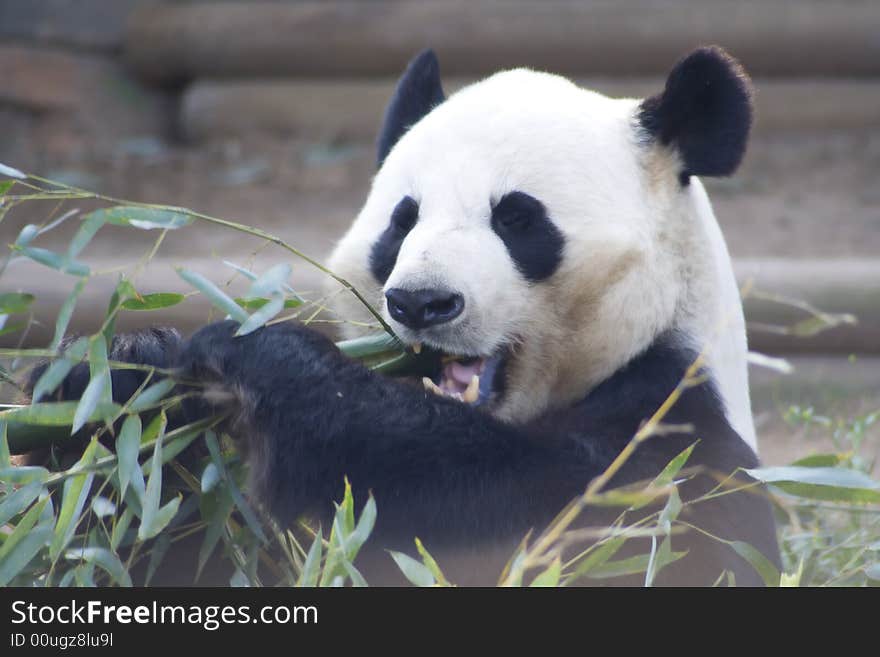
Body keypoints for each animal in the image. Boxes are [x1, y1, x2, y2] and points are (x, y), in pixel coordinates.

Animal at [31, 48, 780, 588]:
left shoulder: (671, 427)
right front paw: (116, 382)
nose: (421, 301)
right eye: (403, 219)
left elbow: (529, 507)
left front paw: (257, 356)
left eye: (517, 219)